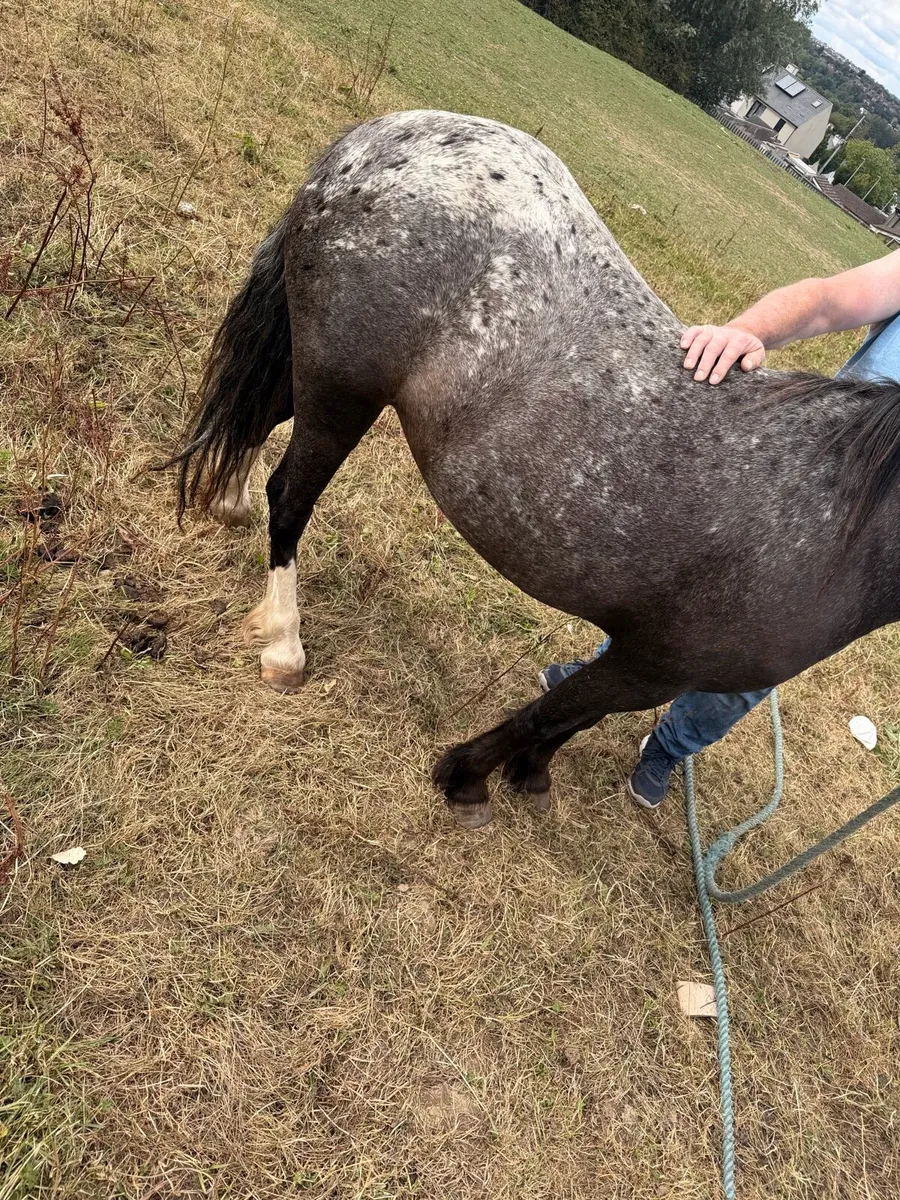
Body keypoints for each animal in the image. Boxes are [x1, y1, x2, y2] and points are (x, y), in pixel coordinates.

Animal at [170, 109, 900, 829]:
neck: (831, 525)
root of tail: (378, 141)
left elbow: (574, 718)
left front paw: (530, 773)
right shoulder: (651, 665)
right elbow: (556, 712)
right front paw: (468, 777)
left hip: (318, 372)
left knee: (253, 419)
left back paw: (229, 504)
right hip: (343, 390)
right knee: (290, 496)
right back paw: (283, 646)